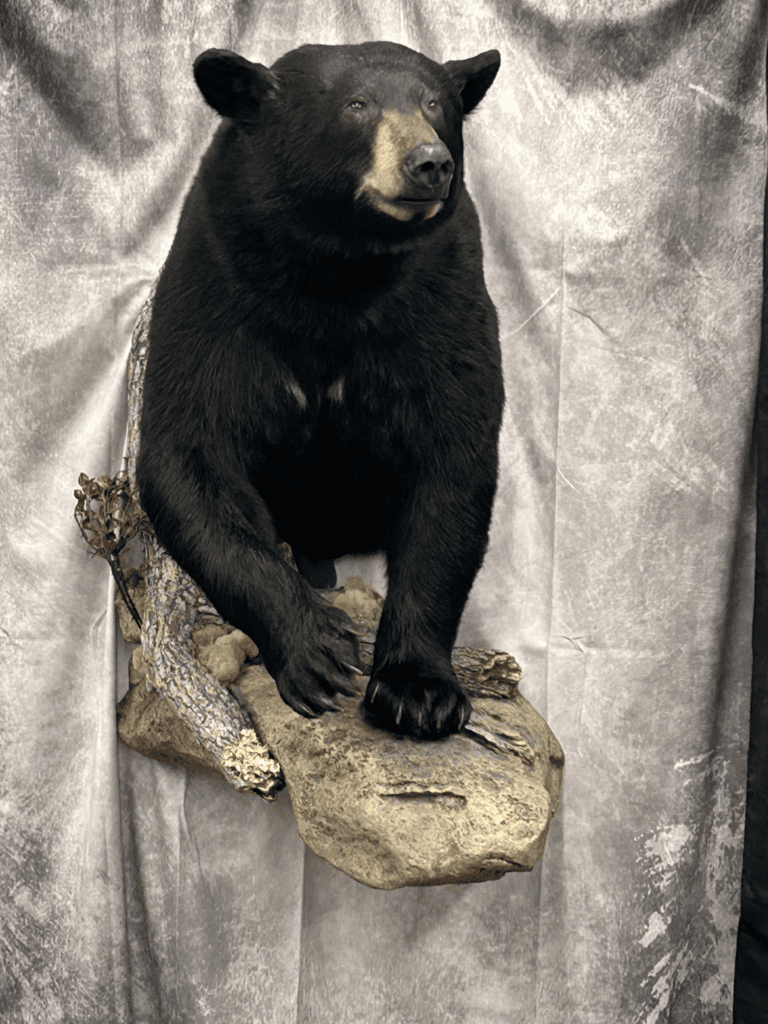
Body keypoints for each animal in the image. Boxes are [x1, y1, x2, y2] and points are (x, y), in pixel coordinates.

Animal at [137, 40, 503, 740]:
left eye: (434, 104)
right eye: (356, 106)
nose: (430, 163)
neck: (337, 267)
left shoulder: (444, 294)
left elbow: (452, 456)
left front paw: (418, 690)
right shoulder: (214, 282)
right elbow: (190, 454)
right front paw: (316, 651)